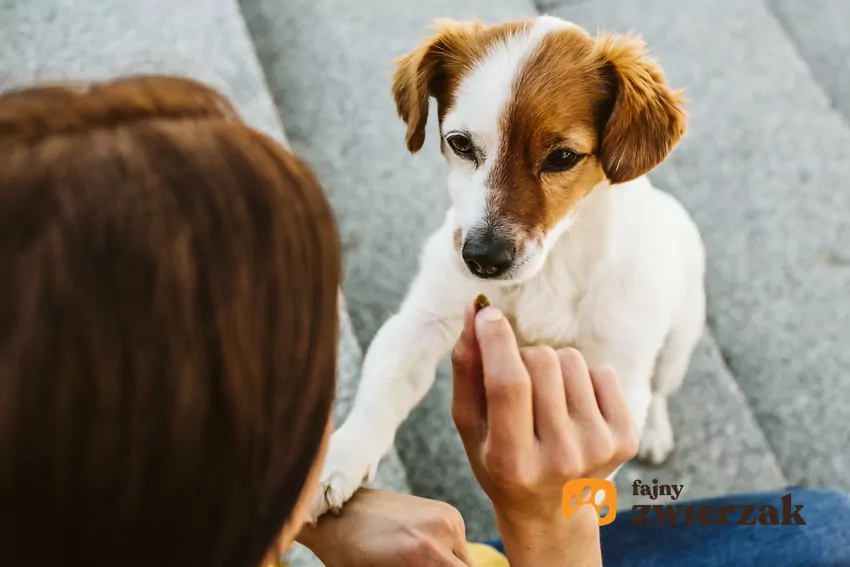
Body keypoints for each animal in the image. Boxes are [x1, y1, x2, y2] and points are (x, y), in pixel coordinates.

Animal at [308, 15, 704, 524]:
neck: (548, 271)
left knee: (659, 390)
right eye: (459, 143)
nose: (481, 259)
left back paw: (655, 434)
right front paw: (339, 460)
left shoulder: (616, 377)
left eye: (563, 157)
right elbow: (384, 387)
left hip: (677, 341)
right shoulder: (424, 320)